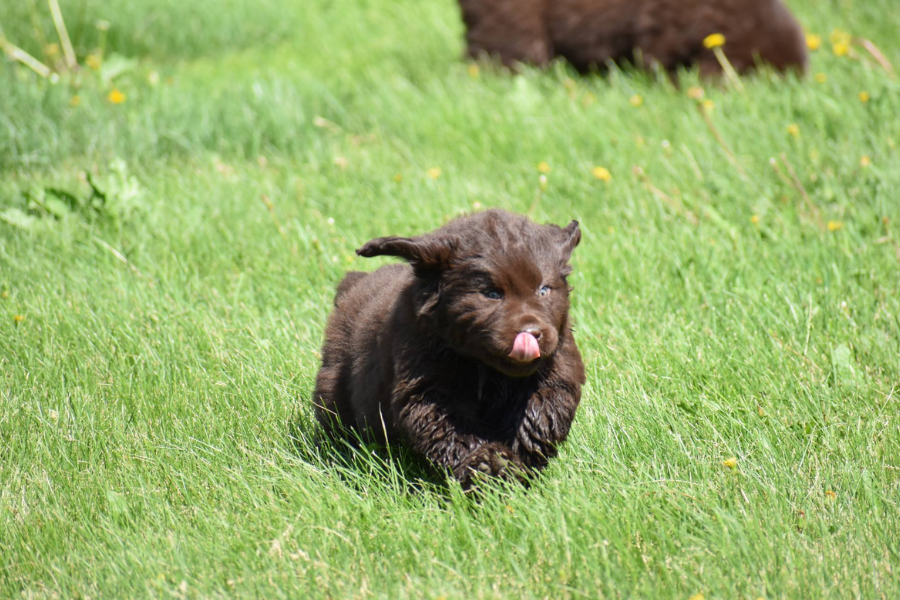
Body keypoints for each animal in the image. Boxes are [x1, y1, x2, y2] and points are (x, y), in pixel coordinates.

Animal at [313, 210, 585, 488]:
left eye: (543, 290)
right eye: (491, 294)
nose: (531, 333)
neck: (486, 369)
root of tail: (354, 282)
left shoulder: (559, 365)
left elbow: (544, 409)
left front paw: (518, 459)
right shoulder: (427, 385)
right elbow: (454, 430)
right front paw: (489, 464)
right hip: (334, 388)